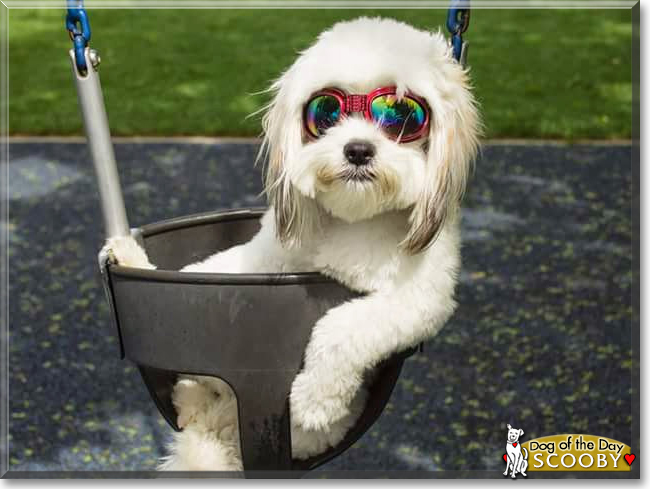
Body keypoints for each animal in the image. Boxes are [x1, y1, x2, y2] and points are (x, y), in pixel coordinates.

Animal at [106, 18, 478, 468]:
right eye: (326, 112)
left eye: (402, 115)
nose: (358, 150)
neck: (352, 219)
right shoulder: (265, 255)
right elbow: (204, 271)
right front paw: (132, 258)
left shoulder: (421, 299)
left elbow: (342, 325)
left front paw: (314, 400)